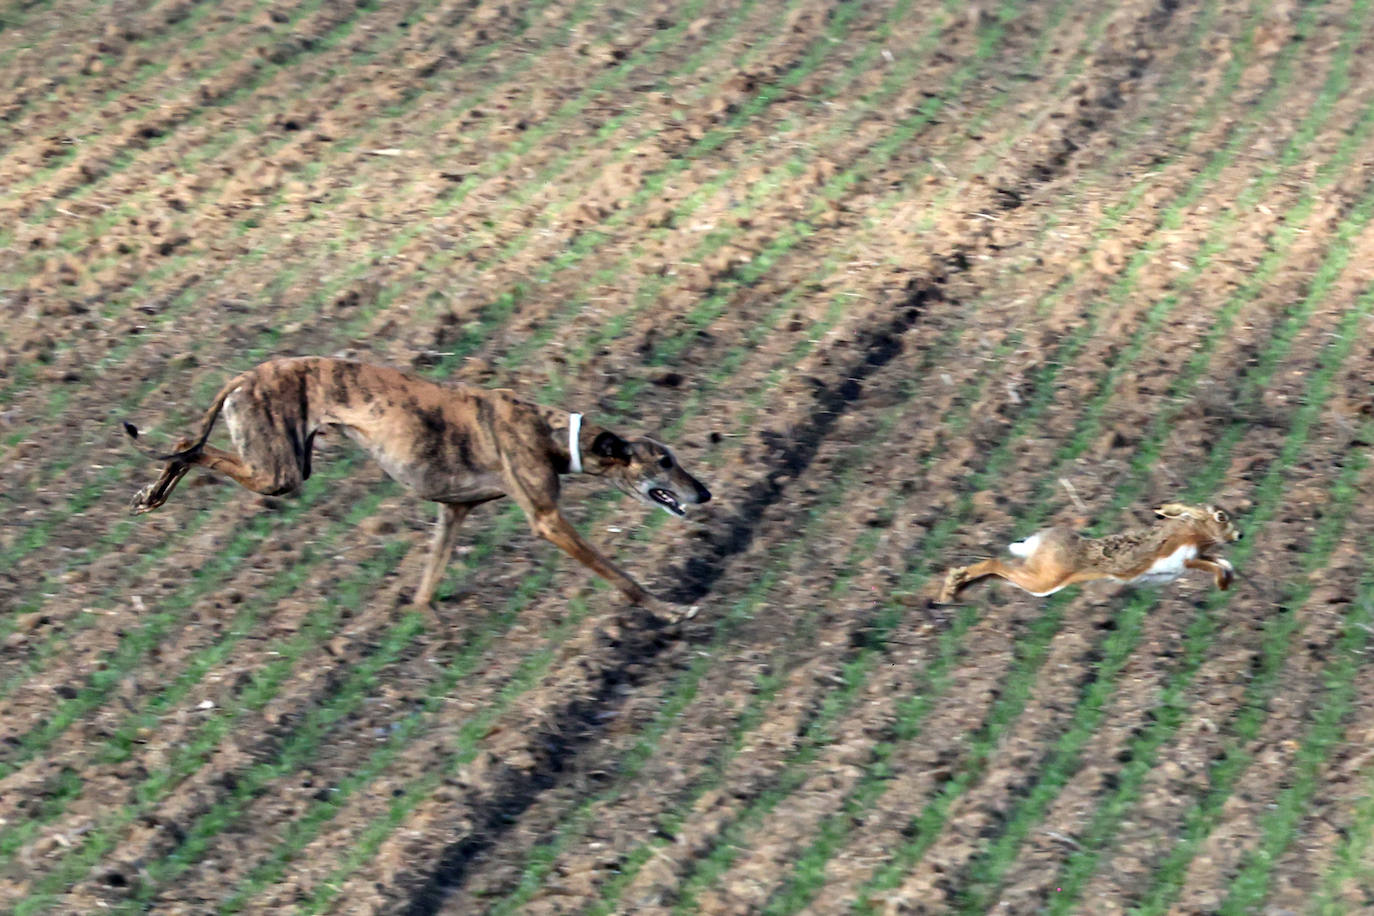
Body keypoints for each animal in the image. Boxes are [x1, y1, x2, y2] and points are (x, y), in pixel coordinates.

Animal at [123, 354, 714, 620]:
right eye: (663, 461)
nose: (705, 493)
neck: (549, 432)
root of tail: (247, 375)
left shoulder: (453, 511)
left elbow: (427, 583)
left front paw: (421, 615)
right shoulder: (547, 520)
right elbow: (618, 574)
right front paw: (667, 609)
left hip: (282, 463)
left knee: (187, 443)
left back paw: (152, 494)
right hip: (279, 473)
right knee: (190, 444)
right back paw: (153, 493)